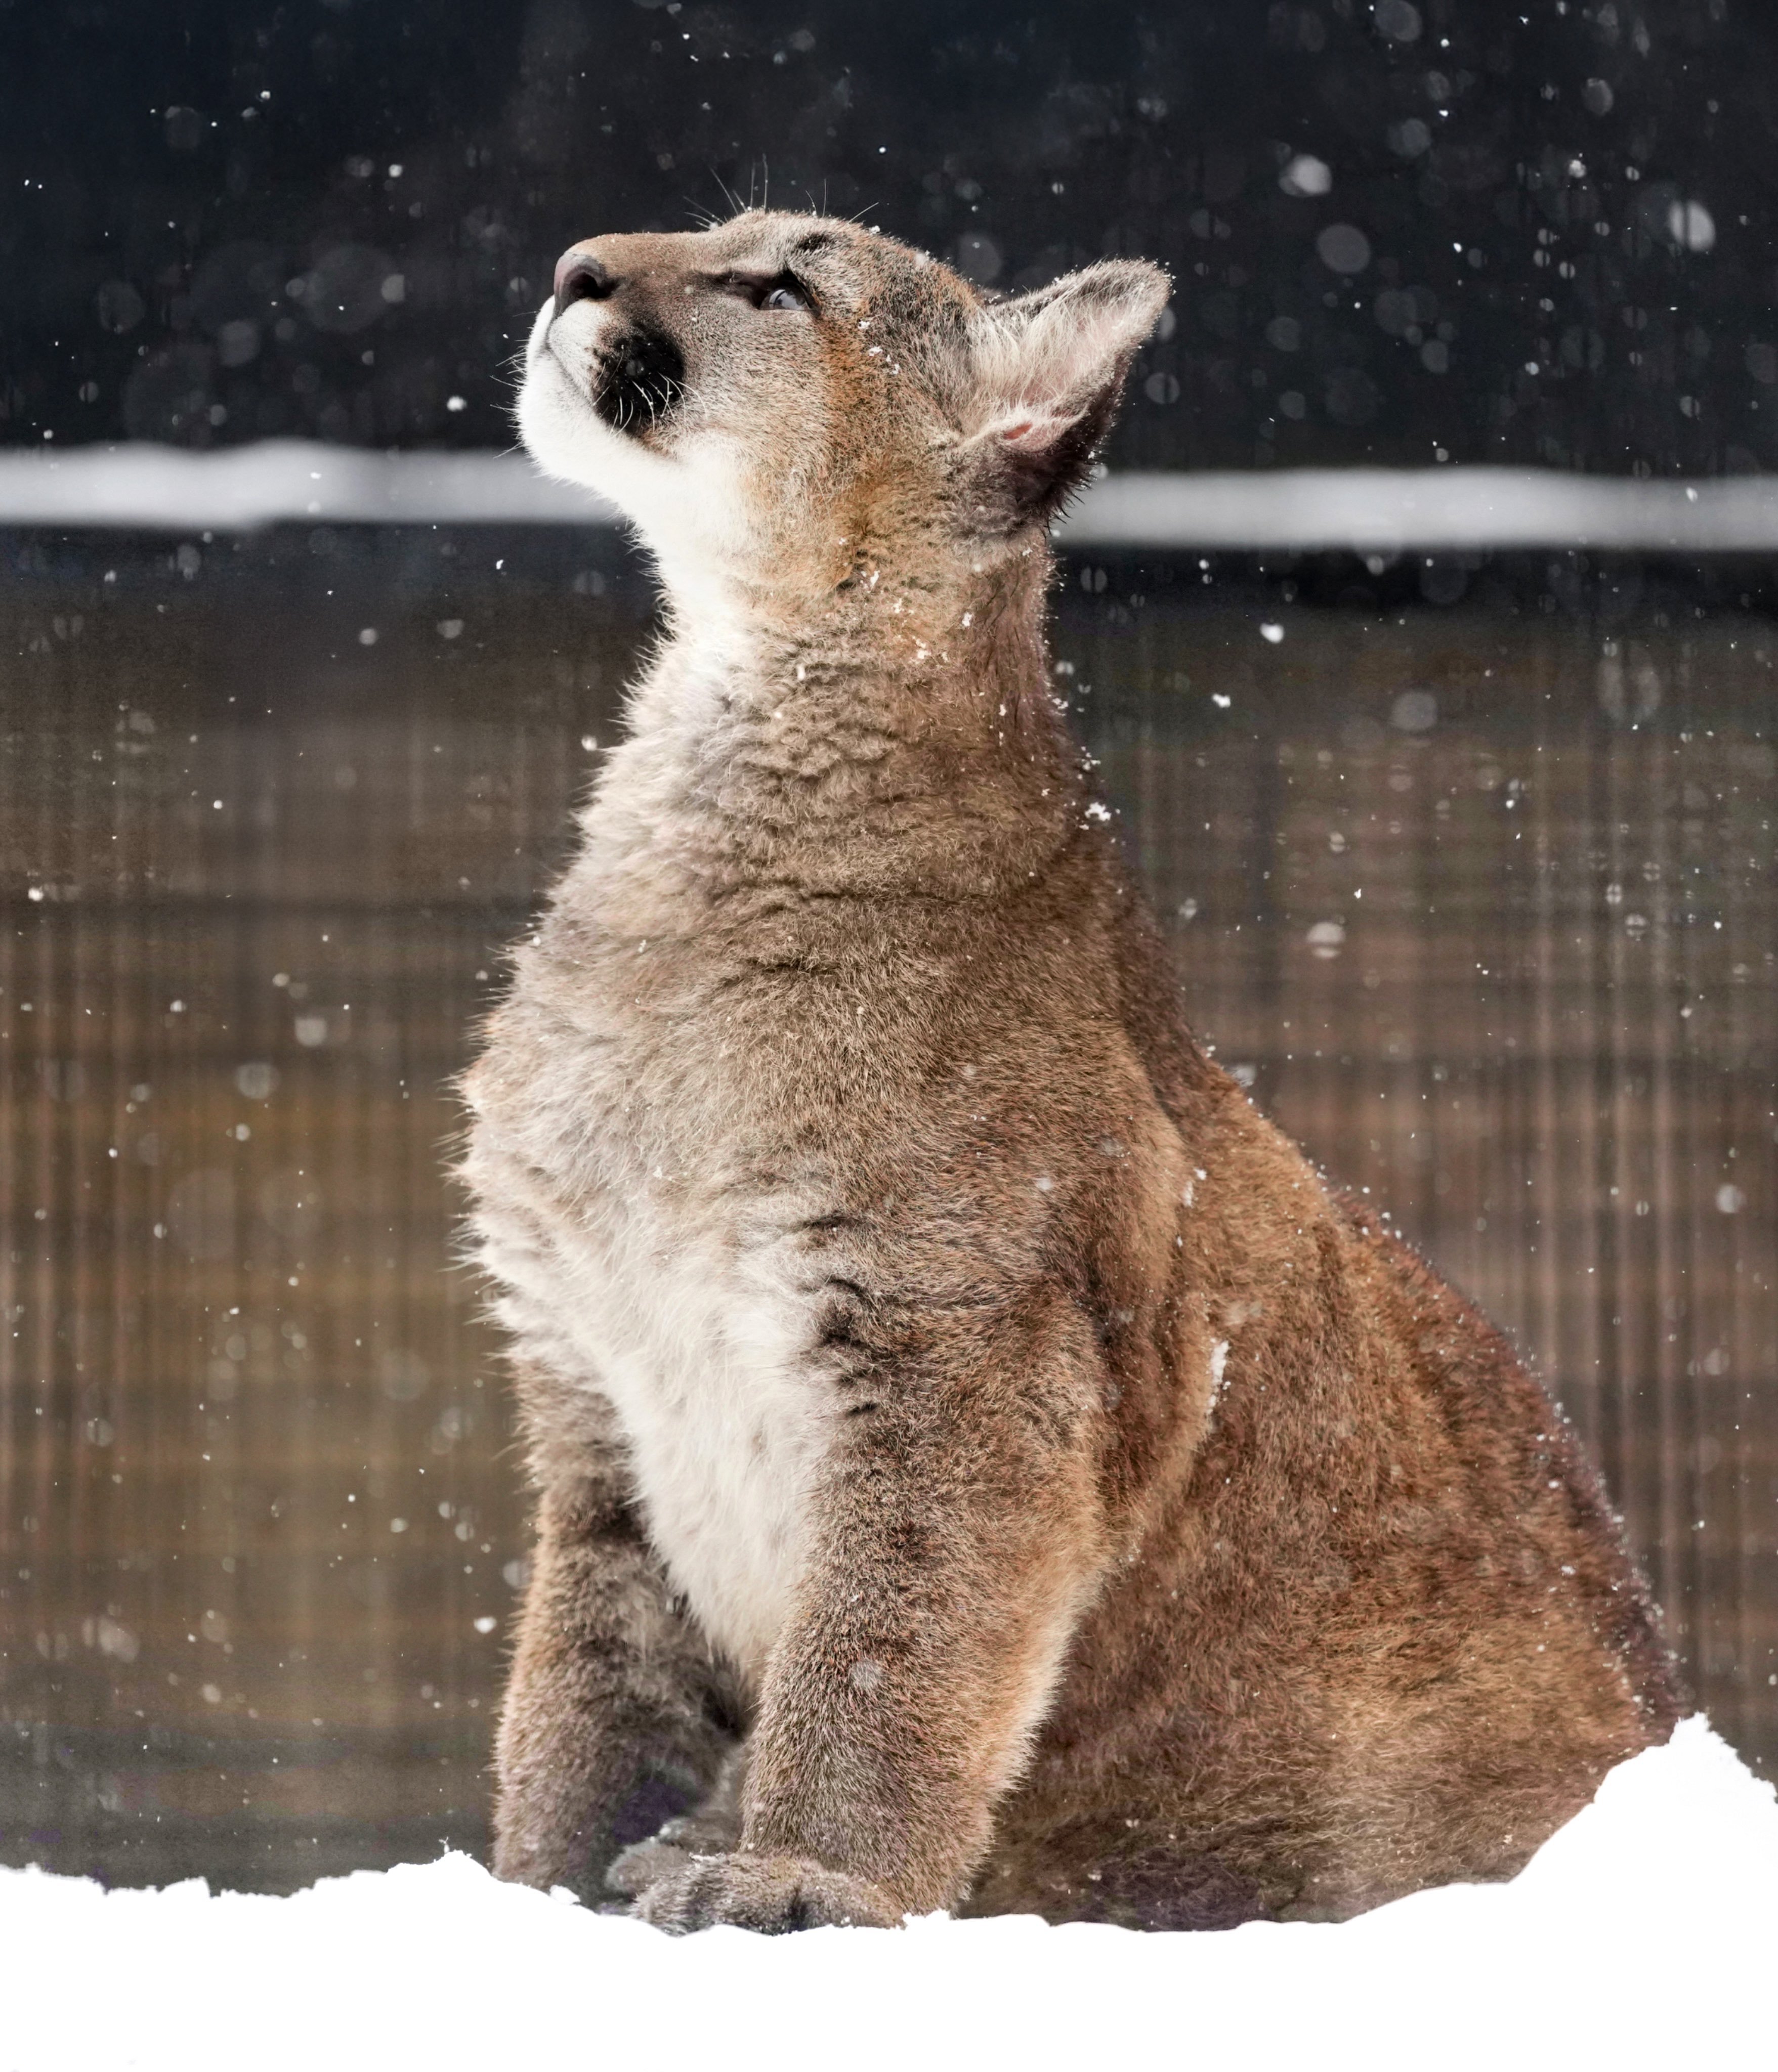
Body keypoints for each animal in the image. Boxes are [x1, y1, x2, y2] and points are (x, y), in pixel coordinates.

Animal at [462, 209, 1681, 1934]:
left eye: (780, 282)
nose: (574, 265)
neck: (730, 739)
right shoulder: (591, 1383)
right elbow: (586, 1687)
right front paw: (543, 1895)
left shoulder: (966, 1368)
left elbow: (882, 1658)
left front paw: (800, 1878)